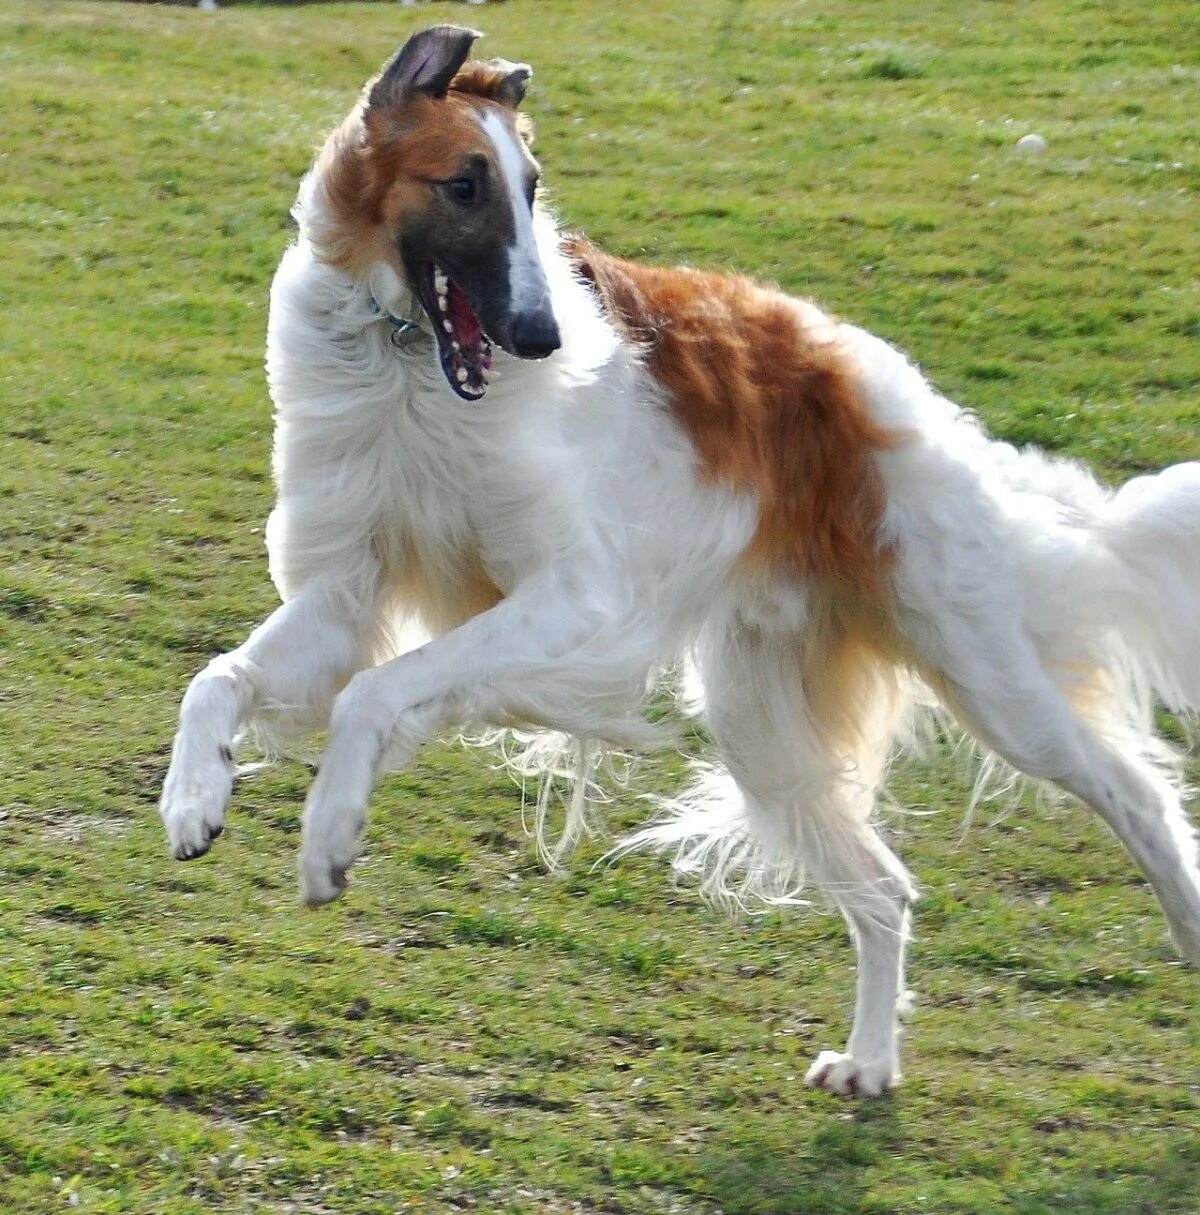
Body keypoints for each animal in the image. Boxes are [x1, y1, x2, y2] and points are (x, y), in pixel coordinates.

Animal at [161, 28, 1200, 1098]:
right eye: (462, 184)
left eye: (532, 188)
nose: (543, 337)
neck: (405, 366)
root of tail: (887, 385)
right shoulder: (343, 594)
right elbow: (217, 678)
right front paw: (196, 800)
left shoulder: (574, 601)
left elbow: (373, 694)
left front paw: (329, 836)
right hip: (763, 720)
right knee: (886, 890)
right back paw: (870, 1060)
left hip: (984, 669)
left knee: (1134, 790)